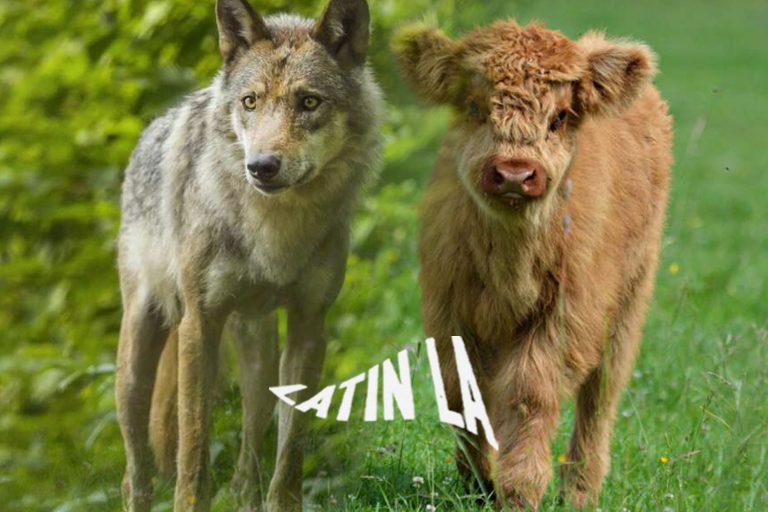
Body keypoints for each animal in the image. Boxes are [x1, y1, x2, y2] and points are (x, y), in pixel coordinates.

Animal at [114, 0, 382, 510]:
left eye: (309, 102)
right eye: (250, 102)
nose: (260, 167)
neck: (275, 231)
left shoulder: (309, 325)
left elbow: (290, 450)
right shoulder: (199, 324)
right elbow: (193, 452)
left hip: (259, 361)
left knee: (248, 459)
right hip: (139, 358)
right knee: (135, 472)